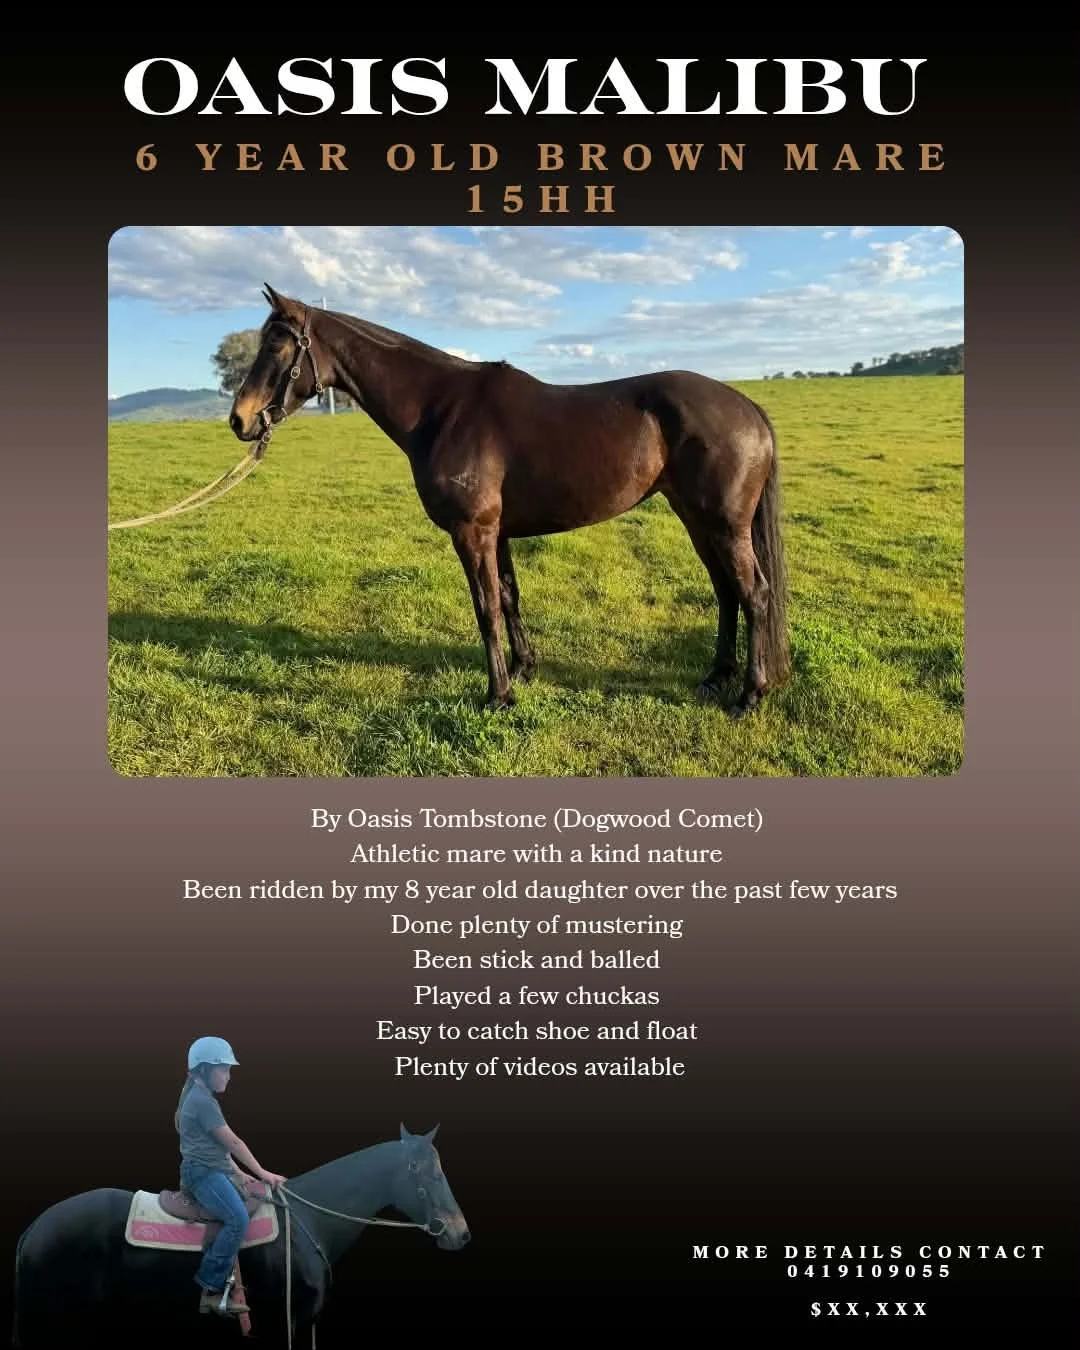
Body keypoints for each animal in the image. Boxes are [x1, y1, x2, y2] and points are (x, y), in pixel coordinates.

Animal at [228, 284, 791, 718]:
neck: (441, 409)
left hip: (723, 525)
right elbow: (508, 597)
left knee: (754, 594)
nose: (240, 419)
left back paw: (749, 695)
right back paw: (717, 676)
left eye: (277, 347)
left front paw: (497, 695)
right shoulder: (496, 533)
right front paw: (523, 669)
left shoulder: (472, 531)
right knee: (726, 592)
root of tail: (747, 407)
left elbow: (486, 609)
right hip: (698, 520)